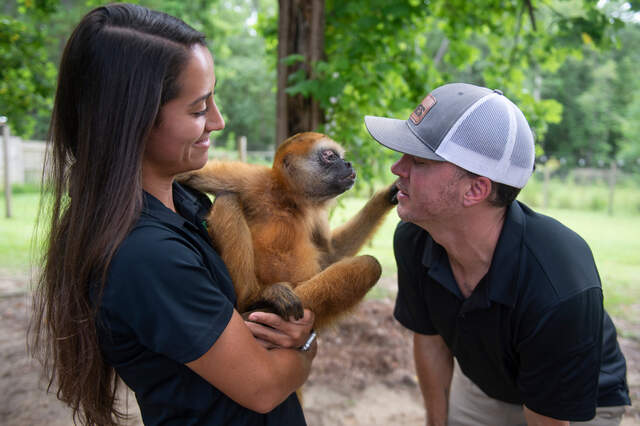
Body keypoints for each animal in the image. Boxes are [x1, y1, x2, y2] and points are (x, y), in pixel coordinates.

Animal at [178, 132, 397, 329]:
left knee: (369, 265)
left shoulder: (314, 213)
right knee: (227, 198)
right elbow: (189, 176)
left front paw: (387, 196)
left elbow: (333, 254)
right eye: (330, 156)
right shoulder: (255, 180)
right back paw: (256, 298)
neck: (289, 201)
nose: (348, 164)